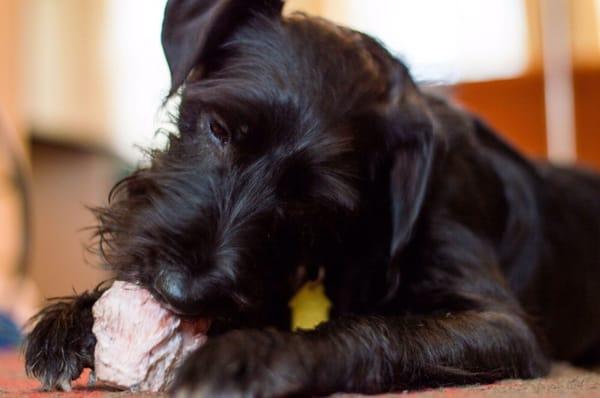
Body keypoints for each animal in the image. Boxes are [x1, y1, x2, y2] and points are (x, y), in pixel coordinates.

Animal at [23, 1, 600, 396]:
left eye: (309, 196)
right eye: (218, 128)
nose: (179, 292)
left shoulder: (501, 324)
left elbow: (377, 328)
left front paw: (254, 355)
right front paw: (73, 320)